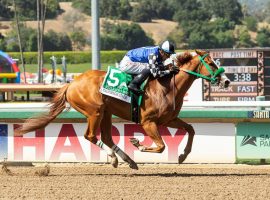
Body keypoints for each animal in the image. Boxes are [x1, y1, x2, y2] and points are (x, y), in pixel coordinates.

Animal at [14, 49, 230, 170]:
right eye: (211, 63)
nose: (227, 81)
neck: (168, 85)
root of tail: (71, 83)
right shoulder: (148, 122)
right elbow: (161, 146)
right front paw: (139, 144)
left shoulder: (168, 120)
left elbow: (191, 130)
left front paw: (183, 155)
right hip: (95, 111)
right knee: (90, 136)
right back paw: (113, 158)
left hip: (106, 112)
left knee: (106, 137)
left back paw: (127, 160)